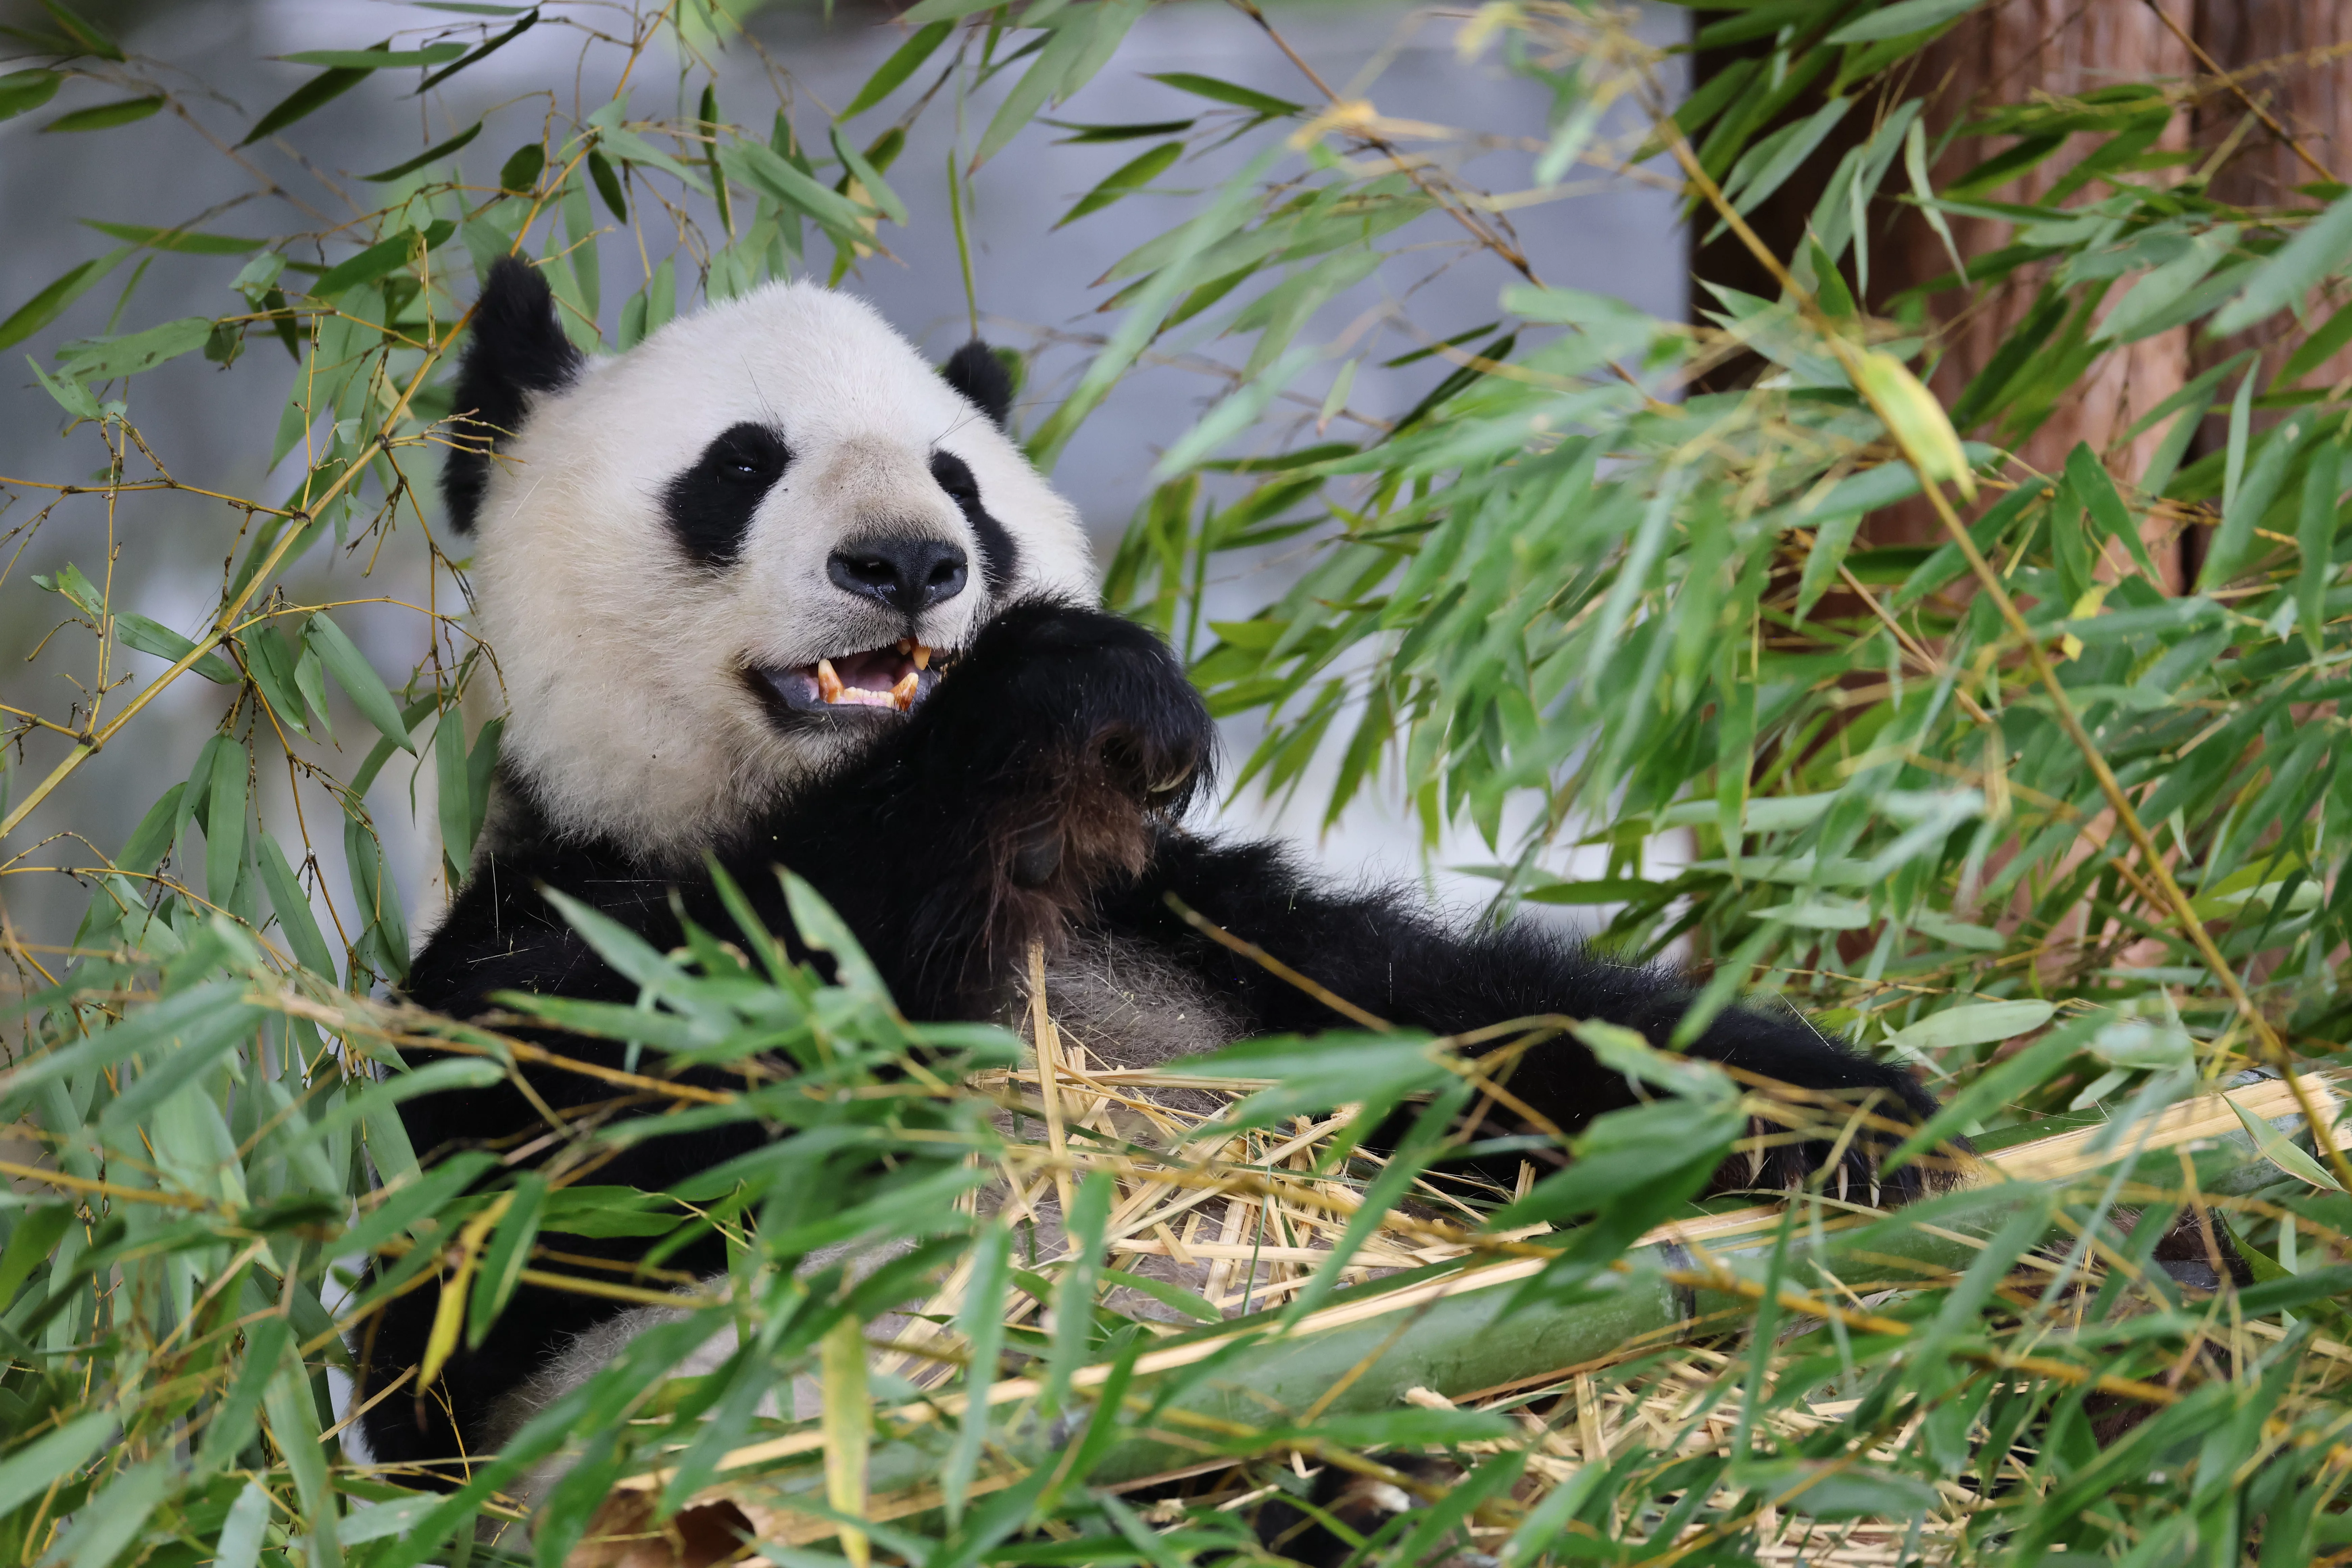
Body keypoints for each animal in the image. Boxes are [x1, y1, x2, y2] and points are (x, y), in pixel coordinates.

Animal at [354, 257, 1950, 1488]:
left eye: (960, 482)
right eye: (740, 465)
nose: (907, 563)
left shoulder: (1187, 922)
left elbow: (1475, 1035)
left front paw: (1853, 1121)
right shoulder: (521, 946)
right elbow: (523, 1227)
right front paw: (1060, 691)